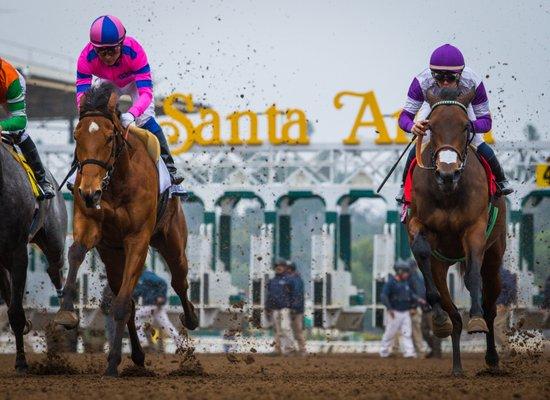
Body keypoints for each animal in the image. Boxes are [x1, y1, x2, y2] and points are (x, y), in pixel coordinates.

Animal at [54, 83, 199, 376]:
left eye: (110, 137)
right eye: (76, 136)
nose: (88, 192)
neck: (117, 181)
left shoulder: (138, 239)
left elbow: (121, 304)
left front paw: (111, 364)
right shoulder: (91, 225)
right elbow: (76, 252)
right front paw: (65, 312)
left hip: (172, 241)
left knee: (179, 280)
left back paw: (190, 317)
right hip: (112, 254)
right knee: (128, 297)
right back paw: (138, 355)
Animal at [410, 86, 508, 376]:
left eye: (466, 126)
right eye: (430, 125)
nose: (447, 173)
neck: (448, 193)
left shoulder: (474, 229)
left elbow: (473, 276)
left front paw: (475, 319)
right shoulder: (419, 224)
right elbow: (422, 251)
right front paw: (438, 319)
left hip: (495, 256)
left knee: (490, 307)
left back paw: (491, 358)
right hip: (442, 265)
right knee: (453, 314)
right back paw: (455, 365)